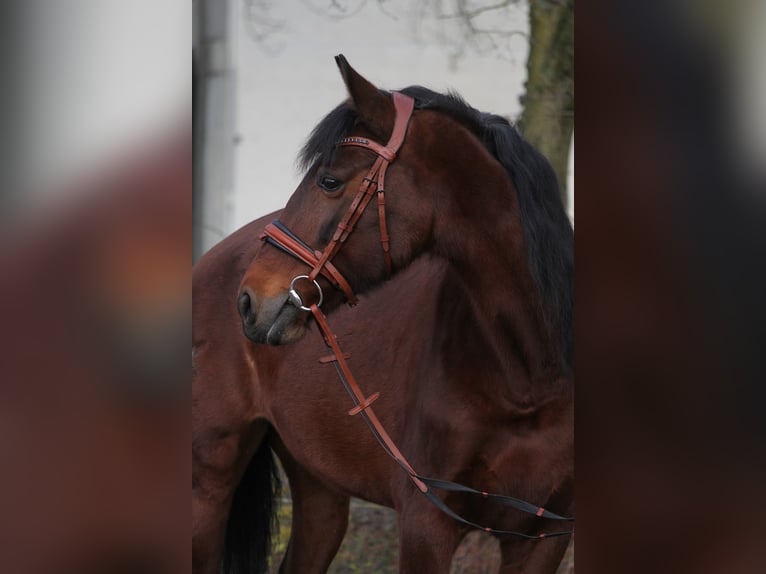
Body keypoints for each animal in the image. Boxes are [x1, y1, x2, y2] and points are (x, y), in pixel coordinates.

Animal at [194, 55, 576, 574]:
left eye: (329, 180)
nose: (249, 300)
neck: (529, 376)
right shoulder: (425, 525)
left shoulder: (543, 538)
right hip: (209, 482)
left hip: (320, 489)